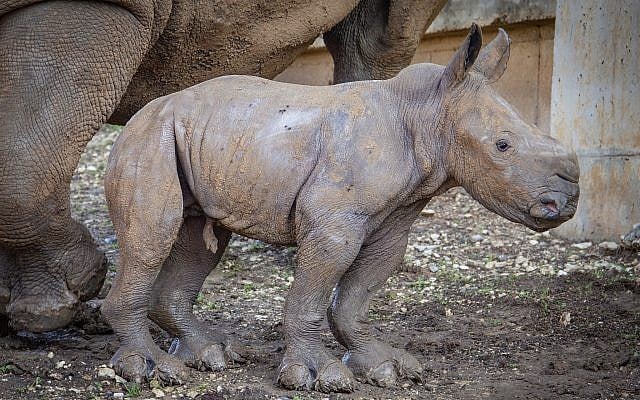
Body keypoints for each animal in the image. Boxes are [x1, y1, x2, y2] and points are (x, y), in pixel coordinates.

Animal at [102, 24, 579, 393]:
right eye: (502, 146)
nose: (569, 199)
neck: (429, 111)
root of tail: (140, 114)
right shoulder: (334, 223)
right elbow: (313, 294)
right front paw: (316, 376)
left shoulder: (395, 220)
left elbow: (357, 295)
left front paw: (385, 367)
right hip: (149, 139)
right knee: (153, 235)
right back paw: (151, 369)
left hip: (201, 139)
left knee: (203, 241)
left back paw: (213, 355)